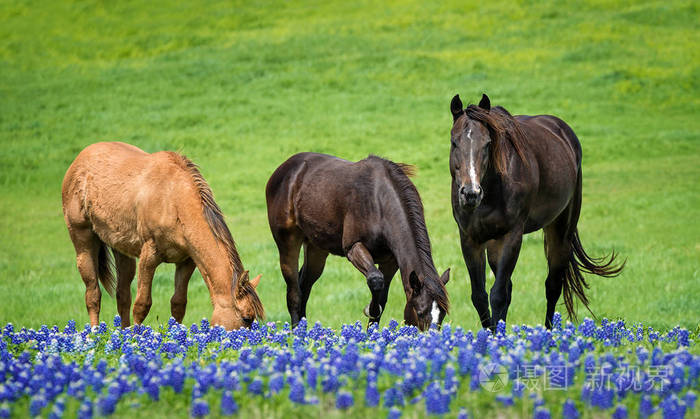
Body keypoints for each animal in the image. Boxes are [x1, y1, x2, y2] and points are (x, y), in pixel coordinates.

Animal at [62, 142, 264, 330]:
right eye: (247, 318)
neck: (173, 200)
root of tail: (79, 160)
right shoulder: (149, 256)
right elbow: (142, 305)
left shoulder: (187, 261)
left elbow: (178, 303)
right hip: (83, 240)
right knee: (93, 295)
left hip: (122, 249)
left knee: (123, 295)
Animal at [266, 152, 450, 331]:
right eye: (420, 312)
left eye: (442, 316)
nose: (432, 338)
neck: (379, 203)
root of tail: (282, 171)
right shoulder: (353, 248)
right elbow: (375, 279)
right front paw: (371, 310)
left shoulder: (390, 261)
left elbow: (382, 298)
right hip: (288, 242)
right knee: (294, 292)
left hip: (316, 249)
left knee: (304, 287)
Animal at [448, 94, 624, 330]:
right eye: (454, 142)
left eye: (487, 143)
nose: (470, 193)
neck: (492, 190)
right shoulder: (470, 239)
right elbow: (480, 297)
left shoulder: (512, 236)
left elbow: (498, 295)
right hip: (494, 243)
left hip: (560, 230)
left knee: (553, 285)